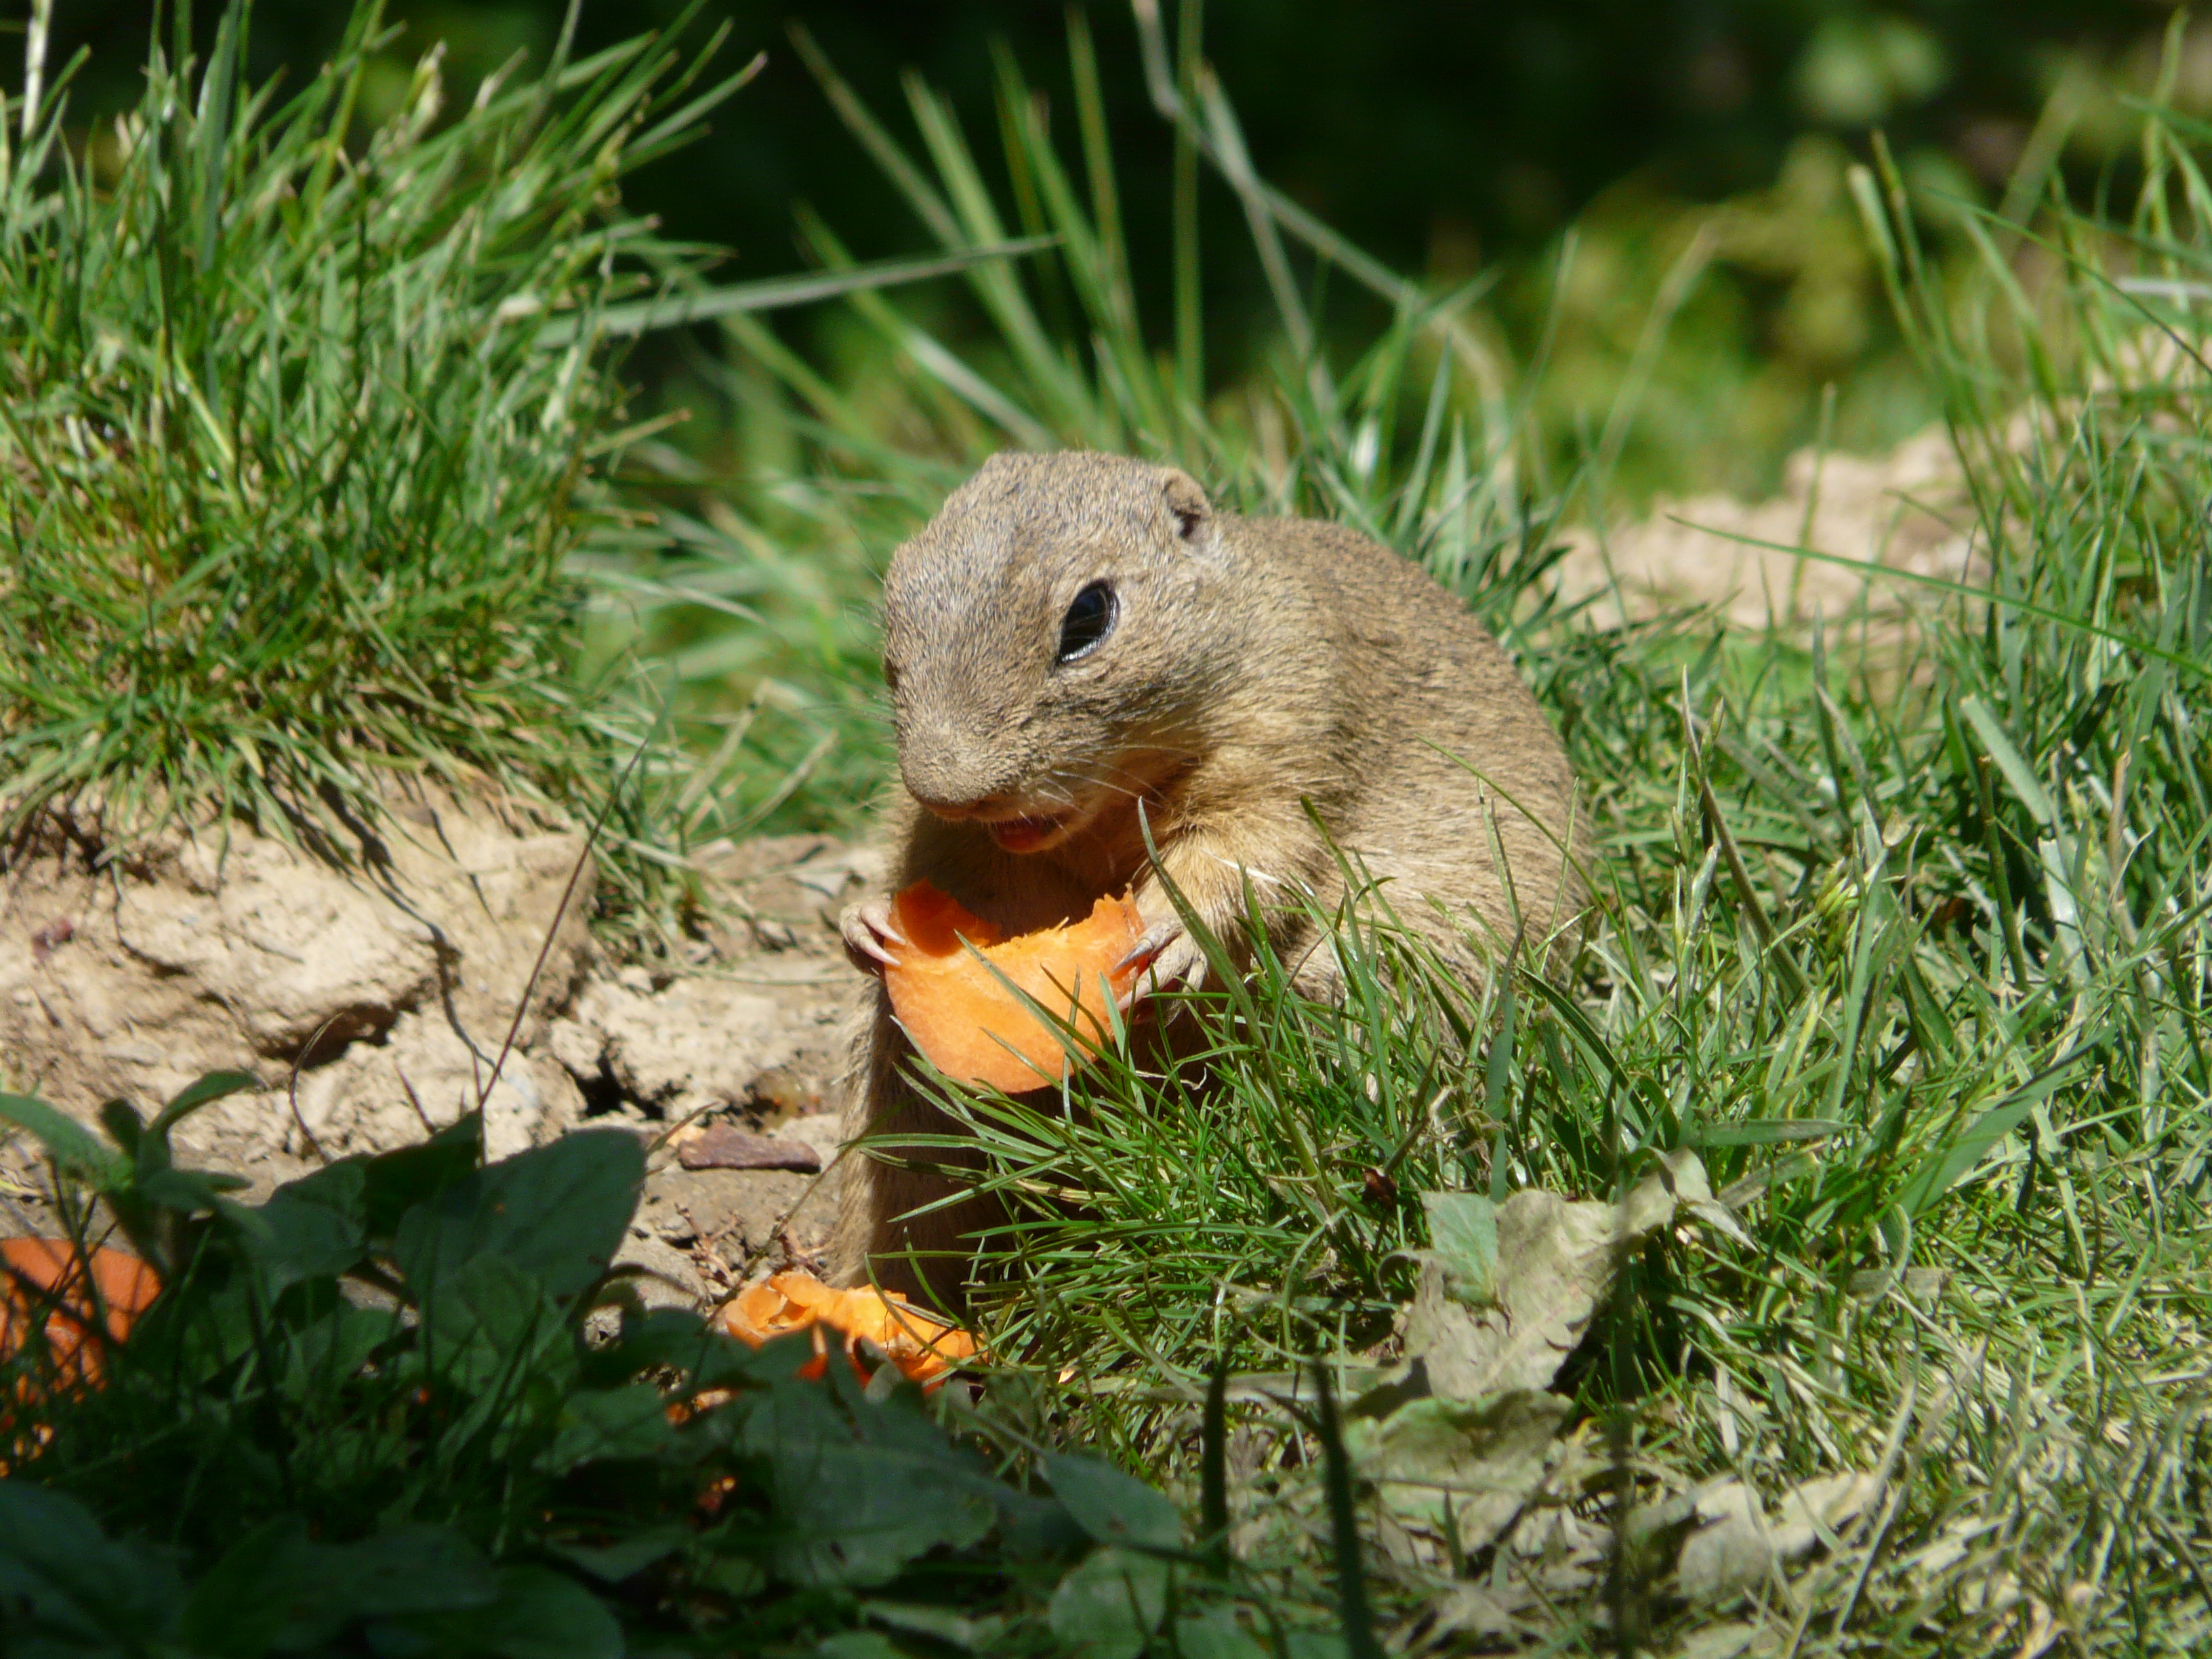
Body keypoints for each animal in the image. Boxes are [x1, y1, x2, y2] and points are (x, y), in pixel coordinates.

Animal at [827, 451, 1574, 1309]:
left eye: (1089, 615)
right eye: (897, 592)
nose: (947, 788)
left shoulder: (1285, 740)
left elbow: (1240, 851)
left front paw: (1169, 930)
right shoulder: (972, 851)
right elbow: (976, 901)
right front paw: (866, 923)